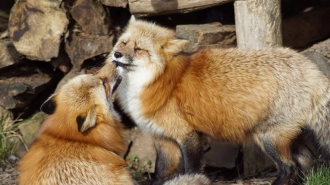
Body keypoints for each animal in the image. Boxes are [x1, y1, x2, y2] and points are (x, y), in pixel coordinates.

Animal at [102, 16, 330, 185]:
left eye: (140, 49)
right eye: (123, 42)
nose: (117, 54)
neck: (154, 80)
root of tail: (308, 65)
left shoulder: (188, 135)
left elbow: (191, 169)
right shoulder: (163, 139)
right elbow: (160, 174)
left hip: (269, 137)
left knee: (288, 167)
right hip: (286, 135)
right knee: (308, 162)